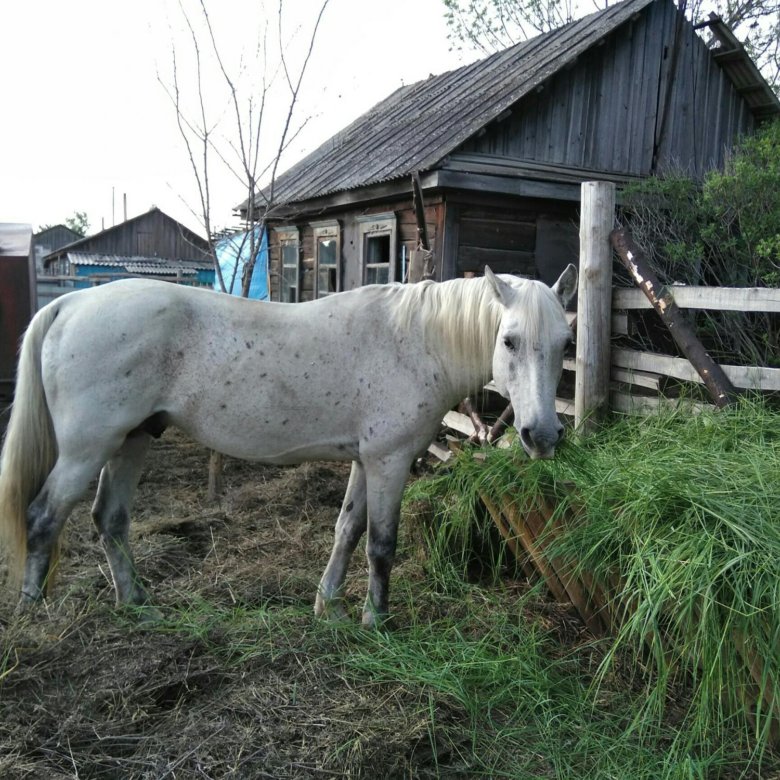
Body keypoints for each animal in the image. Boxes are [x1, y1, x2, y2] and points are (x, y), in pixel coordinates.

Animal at [0, 265, 577, 626]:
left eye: (564, 344)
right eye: (509, 341)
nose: (543, 436)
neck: (417, 341)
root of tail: (72, 302)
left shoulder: (366, 461)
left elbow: (347, 530)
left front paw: (330, 608)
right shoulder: (390, 462)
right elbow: (381, 544)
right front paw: (376, 620)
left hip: (132, 440)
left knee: (109, 520)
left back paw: (137, 604)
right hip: (87, 449)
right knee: (43, 517)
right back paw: (32, 616)